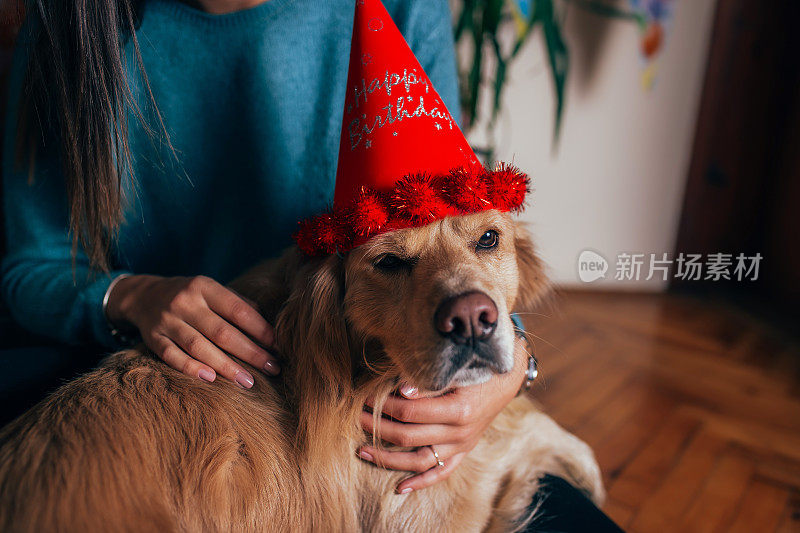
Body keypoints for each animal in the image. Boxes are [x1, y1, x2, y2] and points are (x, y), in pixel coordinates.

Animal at [0, 210, 604, 528]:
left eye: (488, 238)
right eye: (389, 262)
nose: (473, 320)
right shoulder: (423, 510)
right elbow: (527, 434)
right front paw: (588, 474)